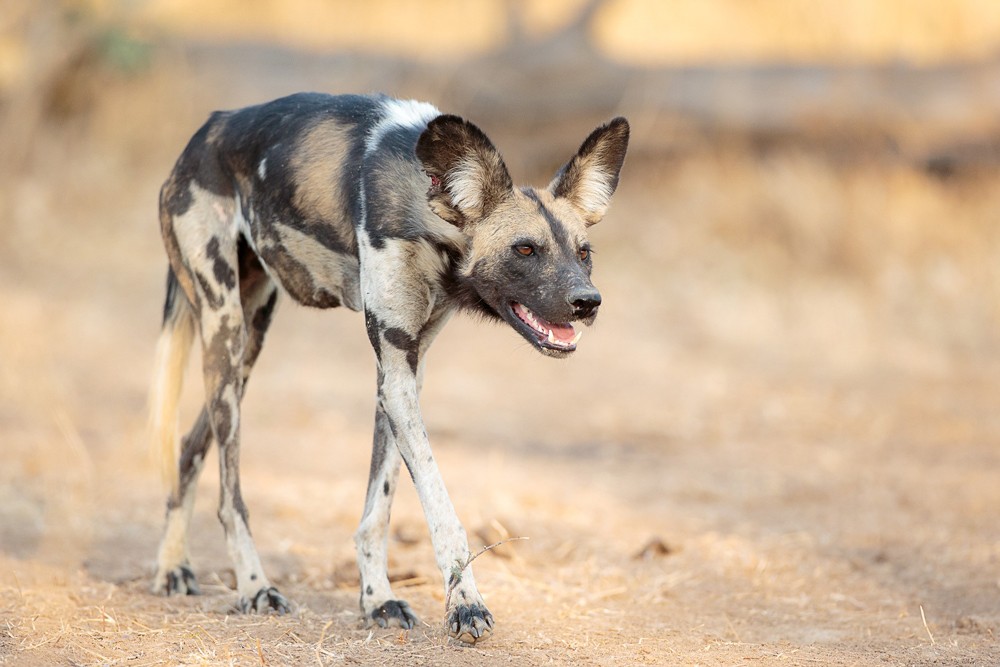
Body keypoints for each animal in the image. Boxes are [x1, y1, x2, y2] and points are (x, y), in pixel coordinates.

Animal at [146, 91, 632, 644]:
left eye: (584, 252)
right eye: (525, 249)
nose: (587, 302)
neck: (429, 217)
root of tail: (205, 132)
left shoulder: (401, 375)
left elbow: (378, 510)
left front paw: (377, 598)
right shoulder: (397, 378)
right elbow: (442, 511)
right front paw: (465, 603)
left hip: (247, 342)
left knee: (189, 446)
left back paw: (172, 565)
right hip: (224, 328)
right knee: (230, 495)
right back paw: (253, 586)